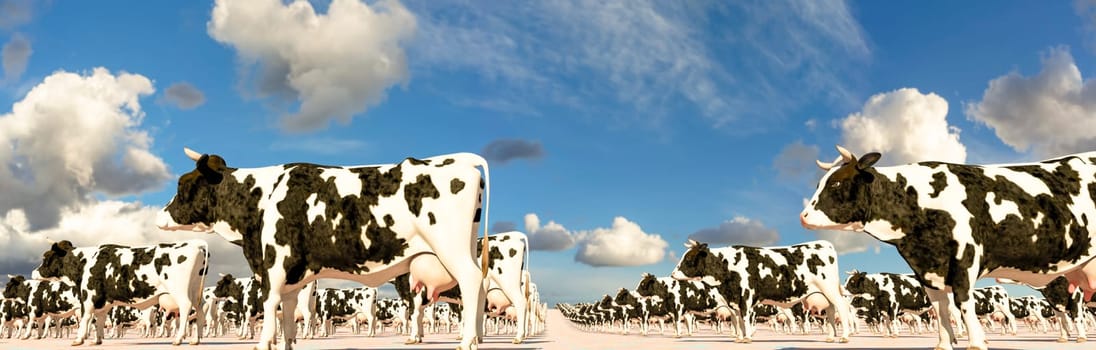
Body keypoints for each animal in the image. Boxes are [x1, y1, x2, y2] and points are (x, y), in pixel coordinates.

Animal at [31, 240, 209, 346]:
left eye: (46, 258)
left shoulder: (89, 296)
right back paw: (196, 339)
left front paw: (78, 339)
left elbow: (86, 318)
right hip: (195, 291)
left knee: (186, 307)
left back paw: (179, 339)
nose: (33, 272)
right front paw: (97, 340)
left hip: (180, 290)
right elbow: (100, 320)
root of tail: (194, 243)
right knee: (200, 310)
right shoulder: (103, 300)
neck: (85, 263)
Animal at [155, 148, 493, 350]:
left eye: (182, 186)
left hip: (451, 247)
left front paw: (262, 343)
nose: (160, 215)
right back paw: (475, 338)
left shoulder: (274, 262)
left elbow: (270, 304)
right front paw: (286, 343)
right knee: (478, 286)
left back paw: (467, 341)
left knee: (471, 281)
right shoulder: (292, 273)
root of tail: (458, 162)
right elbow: (287, 311)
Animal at [666, 240, 854, 344]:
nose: (672, 274)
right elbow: (739, 321)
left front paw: (747, 338)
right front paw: (740, 338)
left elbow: (745, 319)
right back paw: (830, 337)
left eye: (689, 258)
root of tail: (824, 244)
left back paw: (844, 337)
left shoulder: (746, 296)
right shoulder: (735, 300)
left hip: (830, 288)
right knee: (831, 311)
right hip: (824, 294)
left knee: (841, 308)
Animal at [802, 145, 1096, 350]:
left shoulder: (965, 260)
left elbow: (963, 306)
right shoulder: (928, 271)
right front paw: (943, 344)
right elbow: (941, 309)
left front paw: (976, 343)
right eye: (818, 183)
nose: (803, 216)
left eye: (837, 182)